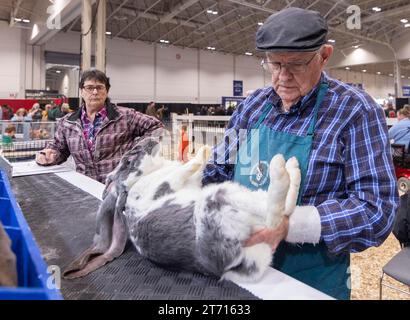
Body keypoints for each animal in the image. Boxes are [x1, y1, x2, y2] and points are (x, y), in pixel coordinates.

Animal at [64, 136, 302, 282]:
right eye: (129, 159)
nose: (149, 140)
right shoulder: (165, 184)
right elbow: (185, 169)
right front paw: (203, 150)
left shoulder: (189, 181)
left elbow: (192, 171)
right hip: (219, 198)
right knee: (274, 211)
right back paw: (281, 168)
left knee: (281, 207)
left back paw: (292, 167)